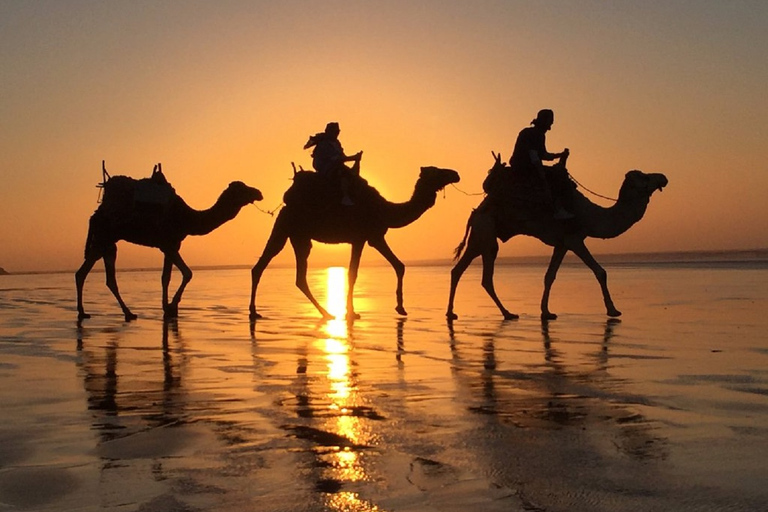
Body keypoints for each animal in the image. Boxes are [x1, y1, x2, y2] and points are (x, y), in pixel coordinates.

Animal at [76, 166, 260, 322]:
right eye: (242, 189)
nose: (258, 192)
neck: (187, 217)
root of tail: (95, 214)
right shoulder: (168, 244)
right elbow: (187, 273)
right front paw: (171, 307)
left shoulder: (172, 245)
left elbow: (166, 277)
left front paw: (167, 308)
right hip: (104, 237)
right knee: (89, 274)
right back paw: (91, 312)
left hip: (107, 242)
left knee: (99, 276)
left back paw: (120, 313)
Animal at [249, 166, 460, 320]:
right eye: (436, 171)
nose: (455, 174)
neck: (385, 210)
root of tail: (287, 200)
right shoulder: (361, 238)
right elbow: (353, 273)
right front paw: (352, 312)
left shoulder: (374, 237)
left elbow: (399, 265)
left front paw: (401, 308)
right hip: (288, 228)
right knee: (272, 267)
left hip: (295, 235)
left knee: (284, 272)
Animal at [444, 156, 664, 320]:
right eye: (644, 177)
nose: (663, 177)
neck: (589, 214)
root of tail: (475, 212)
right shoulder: (574, 238)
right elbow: (600, 272)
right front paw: (613, 310)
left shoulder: (562, 243)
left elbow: (549, 276)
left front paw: (546, 312)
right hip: (487, 235)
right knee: (485, 278)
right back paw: (507, 313)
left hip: (479, 238)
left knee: (458, 270)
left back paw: (452, 312)